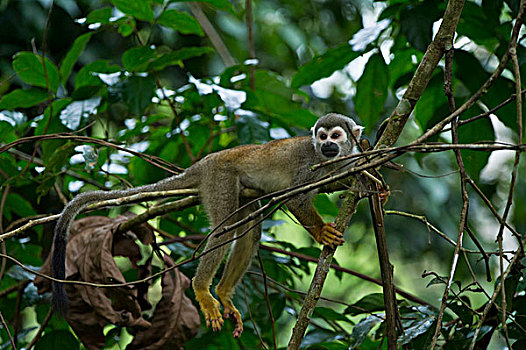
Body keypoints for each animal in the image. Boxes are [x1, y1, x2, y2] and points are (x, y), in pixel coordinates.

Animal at [52, 112, 364, 336]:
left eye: (336, 135)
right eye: (322, 136)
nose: (326, 145)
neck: (328, 160)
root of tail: (207, 160)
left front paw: (365, 186)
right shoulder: (308, 166)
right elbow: (297, 200)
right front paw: (322, 231)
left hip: (240, 189)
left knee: (249, 230)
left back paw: (223, 293)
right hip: (220, 180)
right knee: (222, 232)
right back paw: (202, 288)